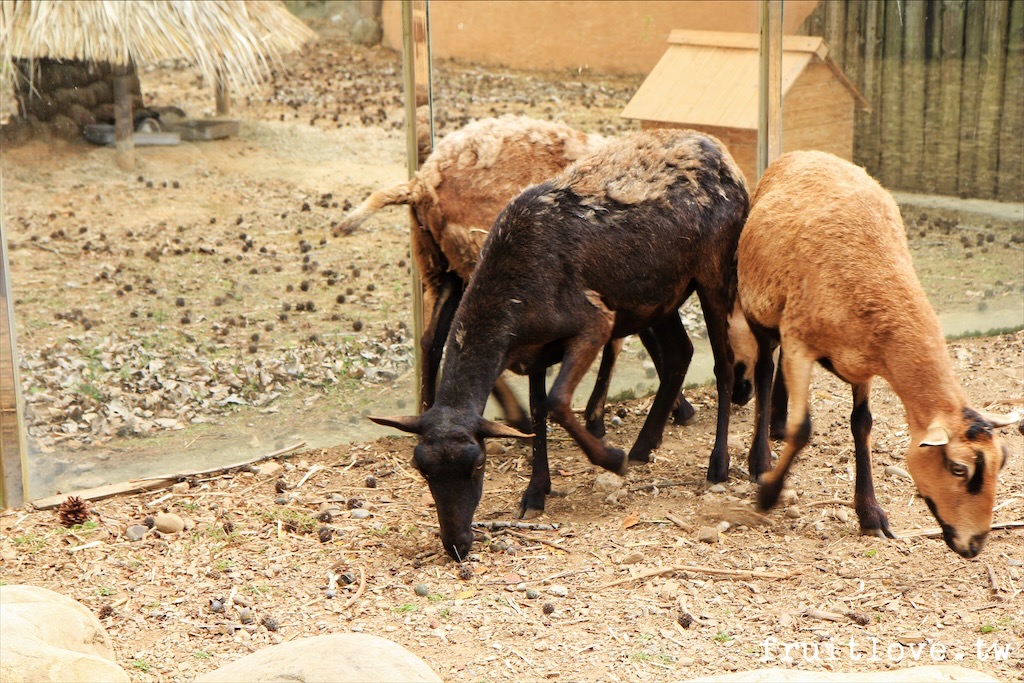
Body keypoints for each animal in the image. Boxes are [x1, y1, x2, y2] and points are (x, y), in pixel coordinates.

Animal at [741, 150, 1019, 561]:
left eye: (1003, 460)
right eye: (958, 469)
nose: (974, 546)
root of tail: (804, 152)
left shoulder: (863, 363)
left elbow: (862, 424)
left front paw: (870, 514)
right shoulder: (799, 340)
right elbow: (803, 428)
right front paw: (769, 494)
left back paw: (776, 422)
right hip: (758, 309)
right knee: (762, 370)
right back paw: (760, 459)